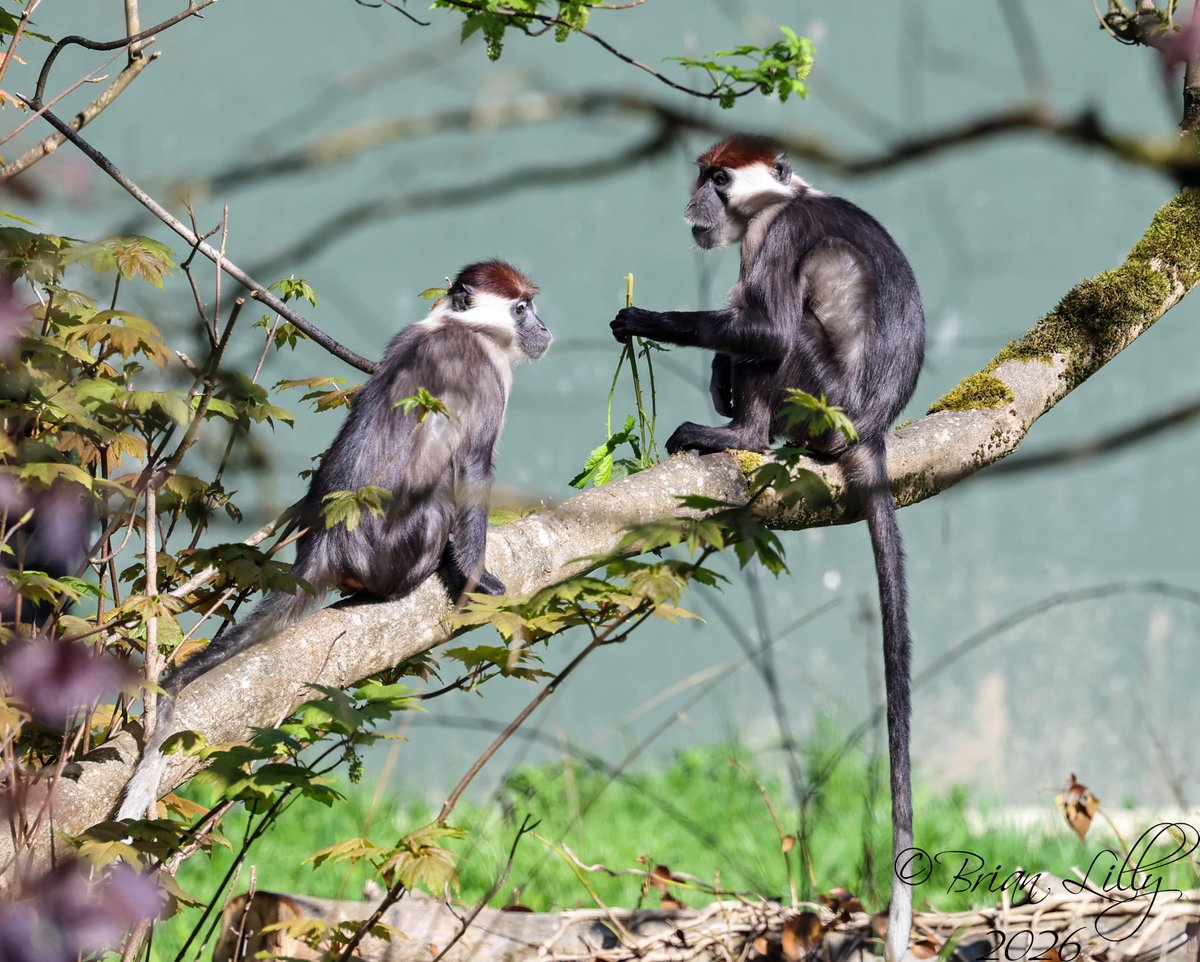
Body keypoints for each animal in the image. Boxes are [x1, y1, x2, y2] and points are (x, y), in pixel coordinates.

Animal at [116, 259, 551, 821]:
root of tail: (325, 545)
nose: (542, 327)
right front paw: (475, 579)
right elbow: (473, 468)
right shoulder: (486, 374)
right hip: (398, 551)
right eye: (521, 309)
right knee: (439, 500)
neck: (459, 326)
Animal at [610, 135, 924, 962]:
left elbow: (767, 334)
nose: (696, 202)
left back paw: (738, 433)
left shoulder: (773, 238)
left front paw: (646, 319)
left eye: (717, 180)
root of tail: (868, 429)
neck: (786, 198)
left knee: (781, 342)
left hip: (812, 398)